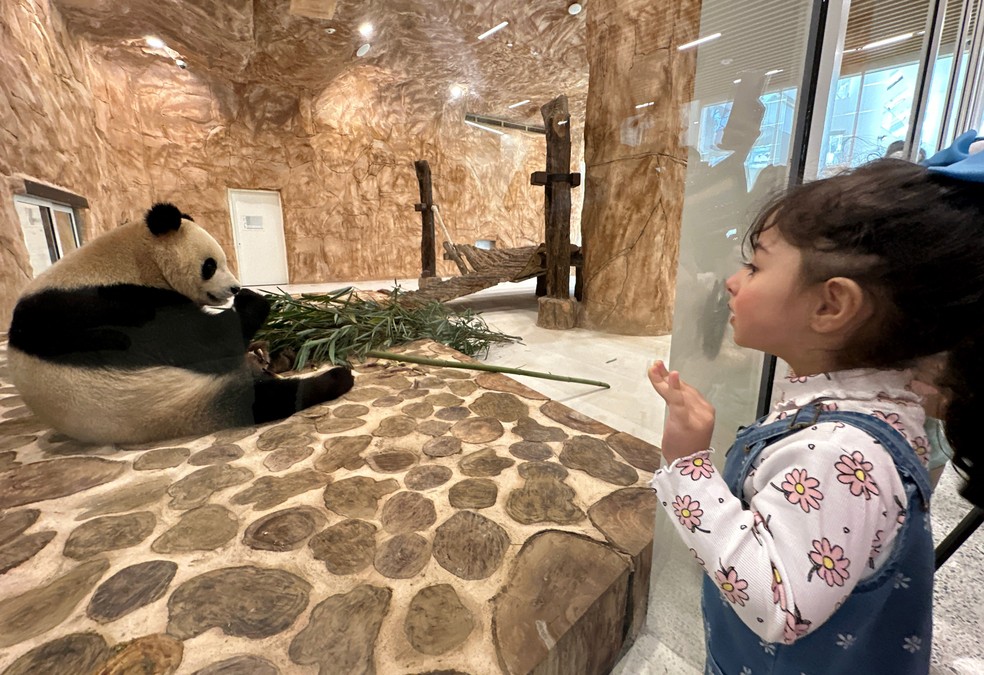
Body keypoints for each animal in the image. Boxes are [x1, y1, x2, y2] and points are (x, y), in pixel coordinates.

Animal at [6, 202, 354, 444]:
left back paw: (279, 356)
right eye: (210, 265)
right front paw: (255, 299)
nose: (234, 288)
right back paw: (334, 378)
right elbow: (200, 341)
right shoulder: (119, 306)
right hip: (171, 402)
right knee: (262, 399)